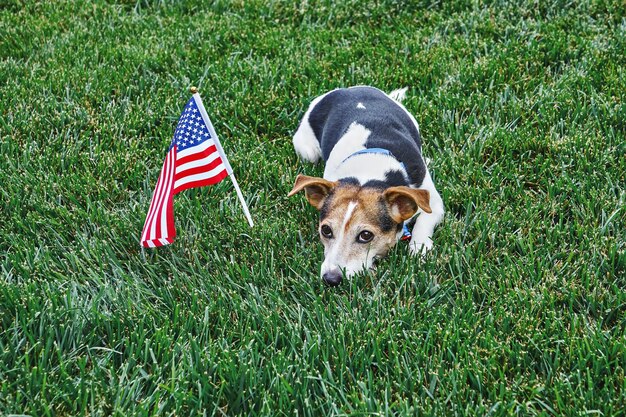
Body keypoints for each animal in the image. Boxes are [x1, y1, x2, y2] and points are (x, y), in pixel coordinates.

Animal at [288, 85, 444, 286]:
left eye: (365, 235)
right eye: (326, 230)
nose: (331, 279)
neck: (369, 172)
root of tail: (350, 89)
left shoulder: (434, 203)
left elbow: (424, 223)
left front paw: (420, 248)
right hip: (307, 151)